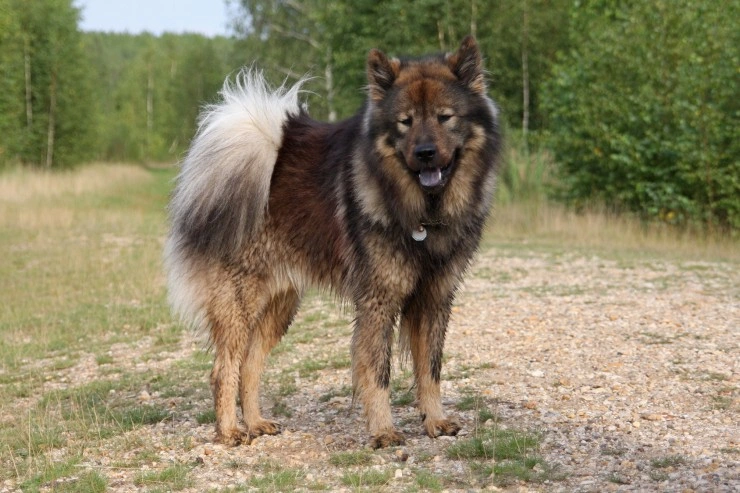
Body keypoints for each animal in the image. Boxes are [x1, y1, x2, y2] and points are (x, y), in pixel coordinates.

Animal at [166, 36, 502, 448]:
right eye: (405, 122)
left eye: (444, 117)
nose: (424, 153)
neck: (423, 212)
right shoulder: (379, 299)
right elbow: (378, 371)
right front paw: (383, 431)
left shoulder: (435, 297)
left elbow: (431, 369)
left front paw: (435, 421)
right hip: (239, 302)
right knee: (224, 368)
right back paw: (230, 430)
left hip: (280, 303)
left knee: (251, 364)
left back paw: (257, 422)